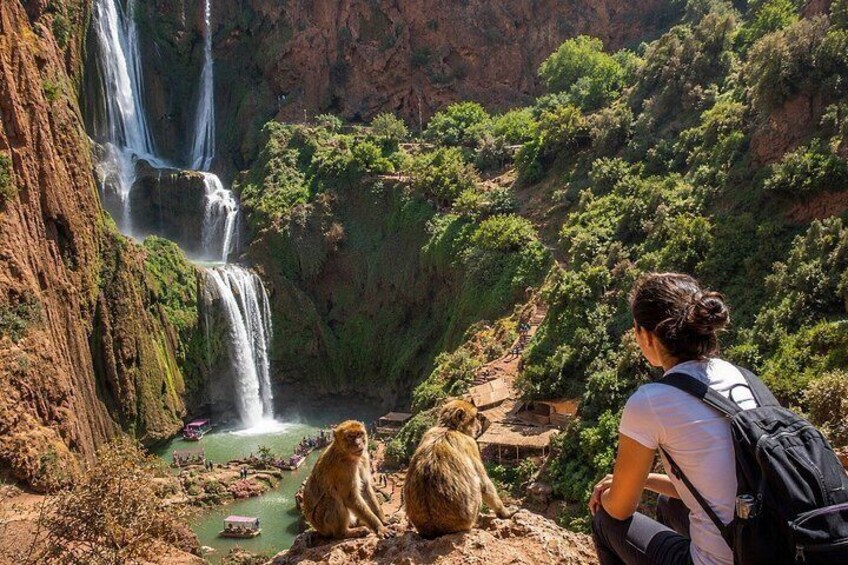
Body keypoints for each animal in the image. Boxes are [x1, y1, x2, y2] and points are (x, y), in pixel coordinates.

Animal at [404, 399, 516, 538]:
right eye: (475, 417)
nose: (479, 425)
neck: (450, 428)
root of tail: (436, 529)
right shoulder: (471, 444)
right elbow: (484, 484)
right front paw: (504, 512)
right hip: (468, 516)